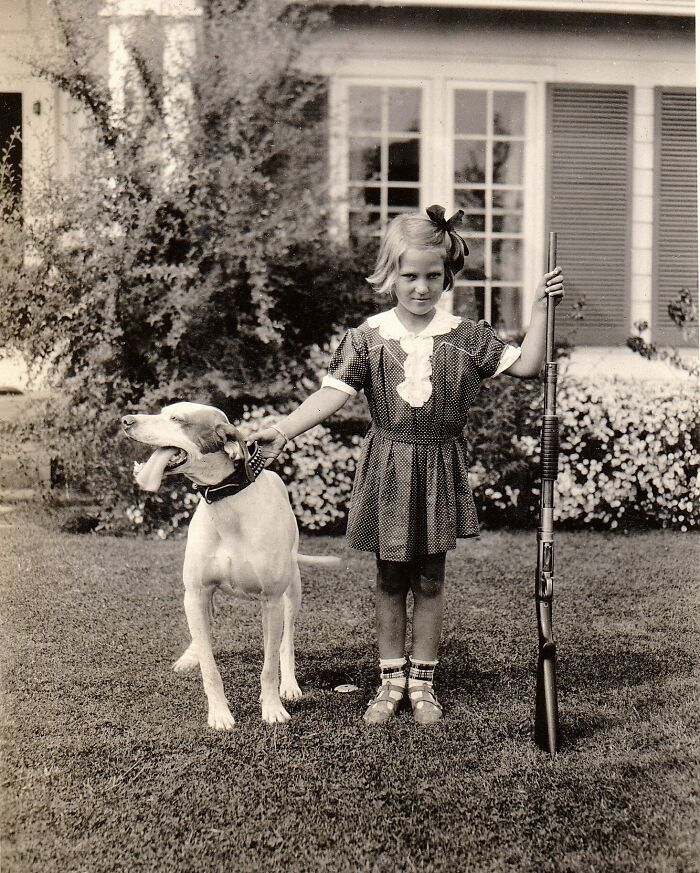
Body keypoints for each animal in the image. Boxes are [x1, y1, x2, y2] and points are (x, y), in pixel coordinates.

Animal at [121, 402, 338, 728]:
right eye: (163, 412)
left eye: (177, 419)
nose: (126, 420)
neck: (226, 504)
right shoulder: (196, 593)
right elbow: (210, 668)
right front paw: (220, 713)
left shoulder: (272, 601)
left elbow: (269, 665)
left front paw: (272, 708)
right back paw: (191, 656)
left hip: (292, 591)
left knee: (286, 643)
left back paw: (289, 684)